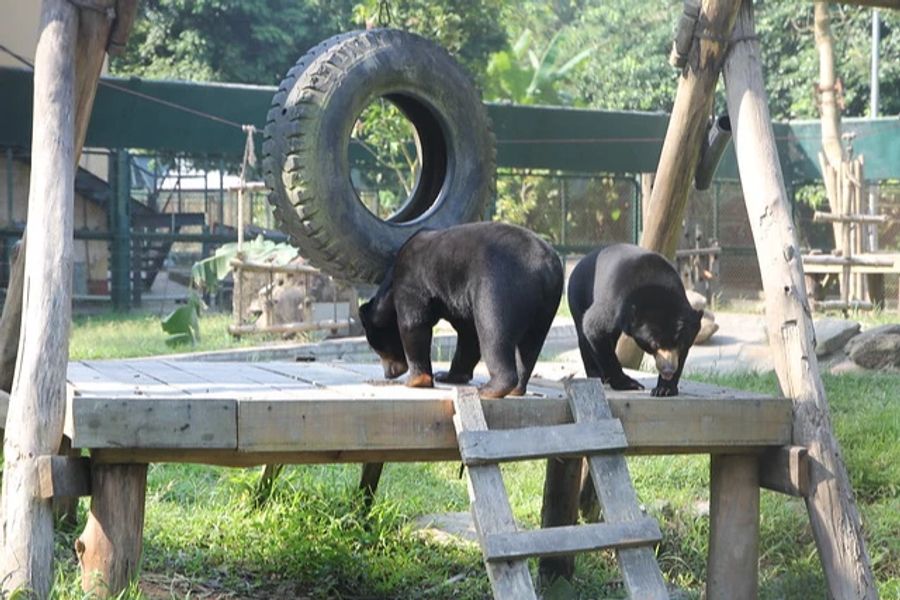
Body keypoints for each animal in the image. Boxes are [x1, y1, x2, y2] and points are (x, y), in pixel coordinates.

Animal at [358, 220, 564, 398]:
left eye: (378, 349)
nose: (389, 374)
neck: (390, 286)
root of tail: (544, 268)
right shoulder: (456, 300)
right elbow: (468, 335)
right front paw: (446, 375)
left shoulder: (411, 283)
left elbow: (413, 324)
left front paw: (415, 380)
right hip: (546, 307)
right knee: (530, 346)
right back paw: (517, 388)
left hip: (500, 286)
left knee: (492, 334)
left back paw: (489, 388)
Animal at [568, 241, 704, 396]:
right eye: (654, 344)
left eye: (680, 343)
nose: (668, 370)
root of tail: (581, 261)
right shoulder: (614, 300)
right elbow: (594, 327)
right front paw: (629, 384)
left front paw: (664, 389)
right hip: (579, 295)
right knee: (583, 335)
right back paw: (597, 375)